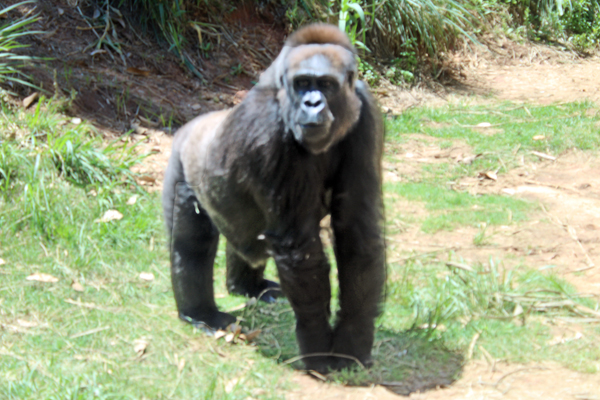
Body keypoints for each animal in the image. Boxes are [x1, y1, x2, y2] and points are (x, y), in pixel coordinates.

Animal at [161, 22, 384, 372]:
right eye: (303, 83)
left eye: (326, 85)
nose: (312, 104)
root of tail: (190, 125)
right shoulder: (268, 129)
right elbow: (298, 246)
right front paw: (316, 342)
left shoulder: (366, 115)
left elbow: (357, 235)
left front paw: (353, 340)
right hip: (182, 164)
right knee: (191, 243)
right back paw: (199, 313)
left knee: (248, 236)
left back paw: (247, 286)